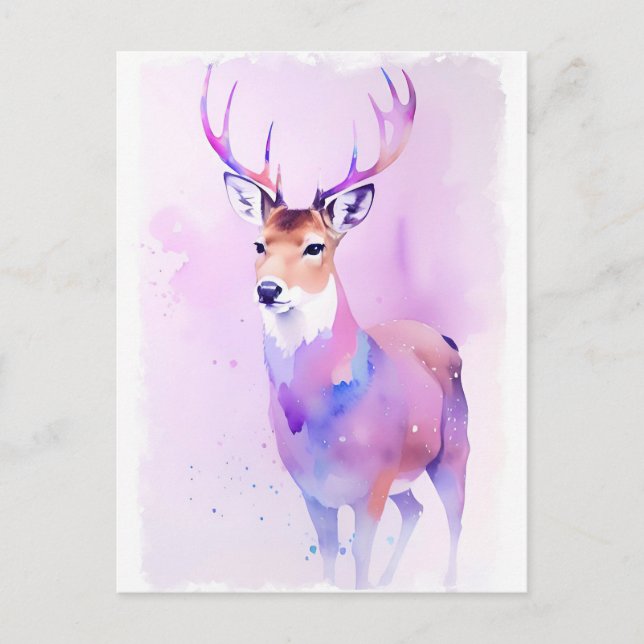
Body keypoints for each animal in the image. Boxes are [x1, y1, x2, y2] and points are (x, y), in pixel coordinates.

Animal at [201, 64, 470, 590]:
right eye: (259, 244)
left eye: (315, 246)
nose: (268, 290)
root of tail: (445, 338)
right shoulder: (311, 488)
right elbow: (329, 555)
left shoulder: (375, 478)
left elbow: (359, 557)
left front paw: (367, 581)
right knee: (416, 508)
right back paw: (391, 581)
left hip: (454, 444)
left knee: (454, 516)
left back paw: (449, 581)